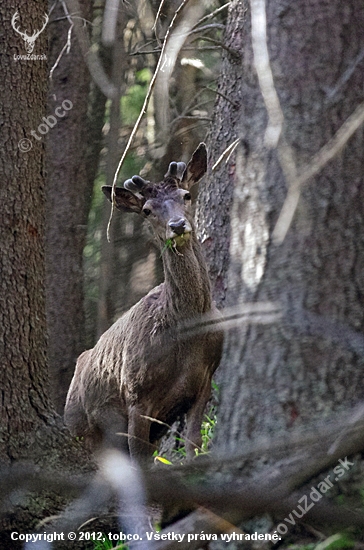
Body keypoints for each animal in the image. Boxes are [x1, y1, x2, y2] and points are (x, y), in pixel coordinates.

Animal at [64, 144, 223, 464]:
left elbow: (194, 444)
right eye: (147, 210)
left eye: (186, 195)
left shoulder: (204, 380)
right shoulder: (136, 393)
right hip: (80, 428)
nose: (177, 225)